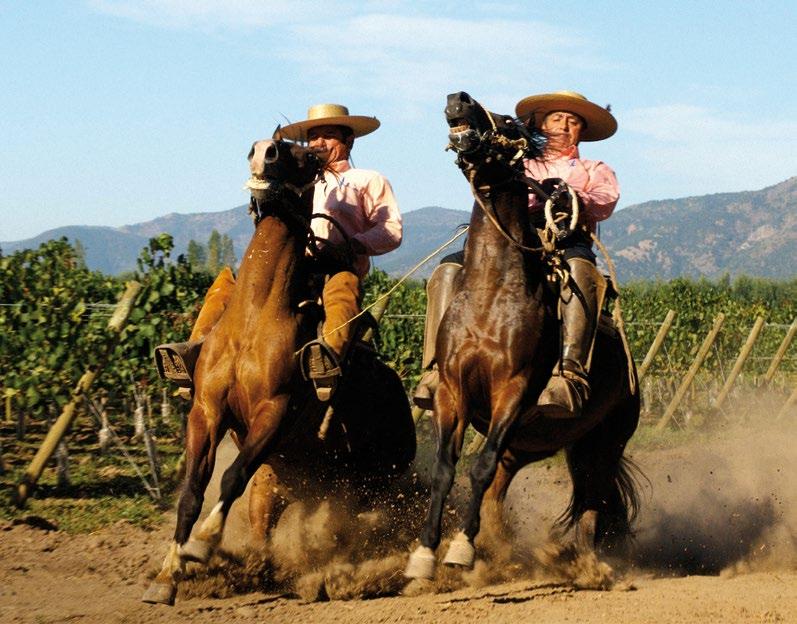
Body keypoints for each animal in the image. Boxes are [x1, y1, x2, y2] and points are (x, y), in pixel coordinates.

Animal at [145, 138, 416, 604]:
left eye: (305, 154)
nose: (263, 151)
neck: (255, 316)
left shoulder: (274, 412)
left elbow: (231, 477)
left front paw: (203, 542)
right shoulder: (206, 412)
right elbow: (193, 492)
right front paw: (169, 572)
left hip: (373, 483)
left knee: (360, 528)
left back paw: (341, 578)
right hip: (285, 483)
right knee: (270, 528)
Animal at [404, 92, 640, 580]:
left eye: (509, 123)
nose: (458, 99)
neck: (492, 294)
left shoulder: (512, 392)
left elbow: (478, 468)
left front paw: (460, 550)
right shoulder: (453, 392)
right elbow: (447, 469)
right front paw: (426, 553)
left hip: (604, 443)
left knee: (592, 502)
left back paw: (588, 567)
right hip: (536, 443)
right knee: (504, 486)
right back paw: (502, 549)